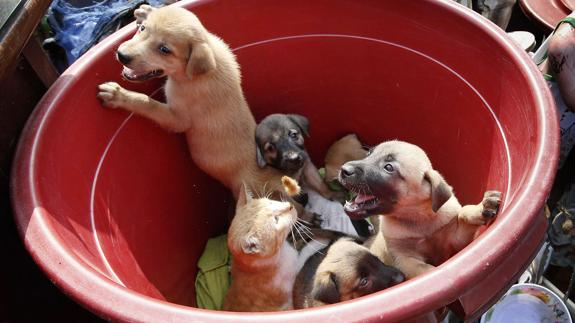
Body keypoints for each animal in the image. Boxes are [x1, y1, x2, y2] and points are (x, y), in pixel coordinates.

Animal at [98, 5, 288, 200]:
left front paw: (118, 95)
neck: (194, 74)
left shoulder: (177, 119)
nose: (121, 55)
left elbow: (147, 102)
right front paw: (146, 11)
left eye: (164, 49)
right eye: (143, 29)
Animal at [340, 140, 502, 280]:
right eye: (369, 153)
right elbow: (426, 269)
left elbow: (463, 213)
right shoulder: (404, 259)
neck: (419, 219)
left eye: (389, 167)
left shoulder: (456, 241)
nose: (344, 170)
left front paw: (481, 208)